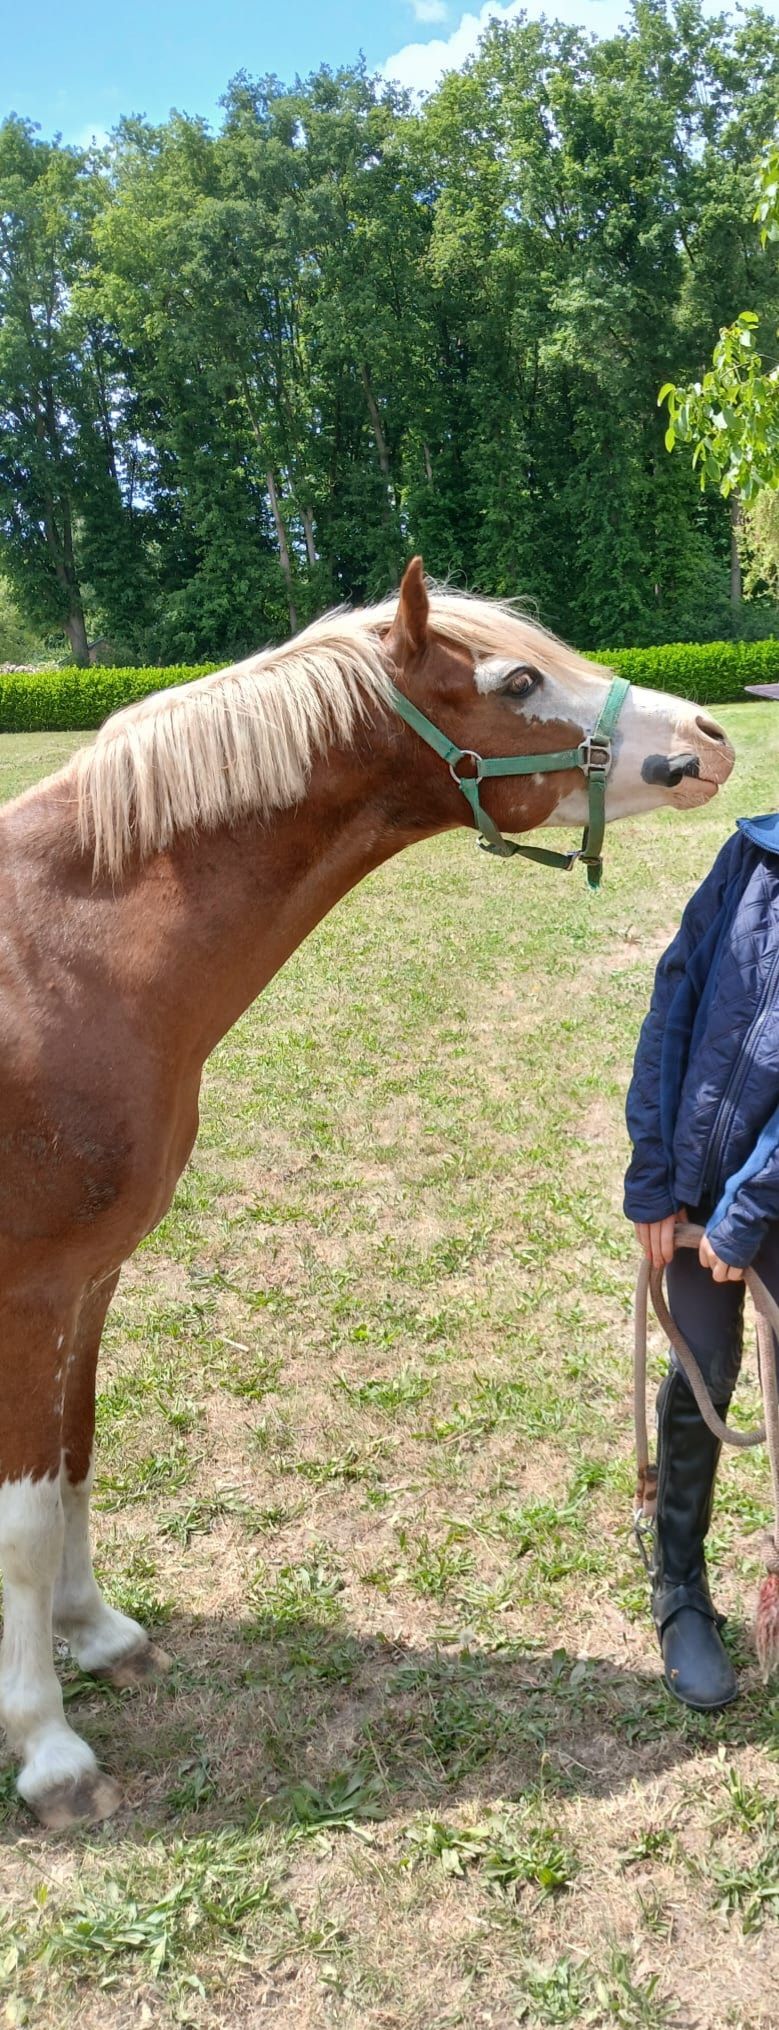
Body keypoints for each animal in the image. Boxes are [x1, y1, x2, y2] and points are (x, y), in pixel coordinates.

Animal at [0, 558, 733, 1829]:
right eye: (518, 678)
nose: (707, 734)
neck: (60, 960)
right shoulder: (32, 1295)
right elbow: (27, 1523)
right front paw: (48, 1746)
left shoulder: (90, 1282)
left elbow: (80, 1456)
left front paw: (96, 1633)